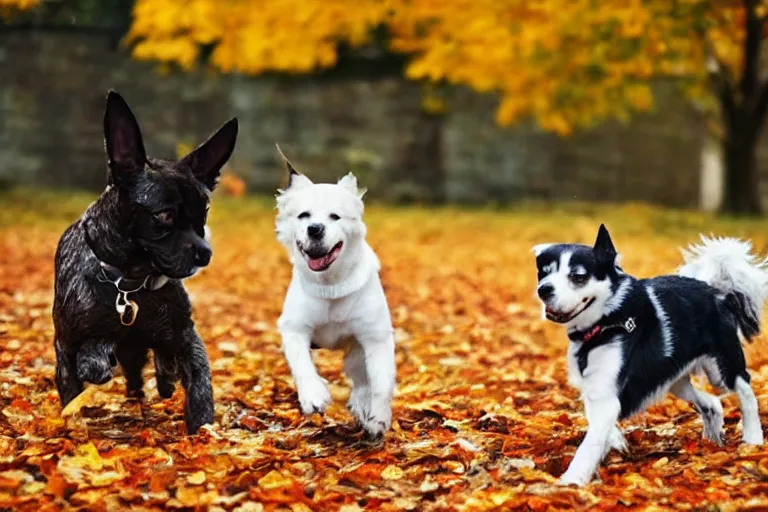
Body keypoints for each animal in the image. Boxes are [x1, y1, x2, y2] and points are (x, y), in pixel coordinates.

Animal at [53, 91, 237, 432]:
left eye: (204, 212)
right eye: (164, 215)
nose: (206, 252)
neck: (129, 284)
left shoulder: (185, 338)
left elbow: (199, 385)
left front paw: (202, 430)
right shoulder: (68, 346)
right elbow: (77, 387)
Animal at [274, 147, 396, 436]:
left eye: (335, 216)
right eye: (304, 215)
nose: (315, 229)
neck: (330, 285)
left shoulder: (375, 337)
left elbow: (381, 382)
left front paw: (378, 418)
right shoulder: (294, 328)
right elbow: (302, 364)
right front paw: (313, 396)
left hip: (357, 349)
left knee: (362, 379)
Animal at [536, 226, 768, 486]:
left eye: (578, 277)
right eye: (544, 273)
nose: (543, 289)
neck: (606, 324)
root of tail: (714, 291)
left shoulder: (605, 396)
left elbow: (591, 441)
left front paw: (572, 481)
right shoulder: (596, 390)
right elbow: (599, 425)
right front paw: (614, 443)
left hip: (721, 369)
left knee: (745, 390)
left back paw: (753, 438)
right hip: (673, 378)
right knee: (711, 402)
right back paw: (712, 436)